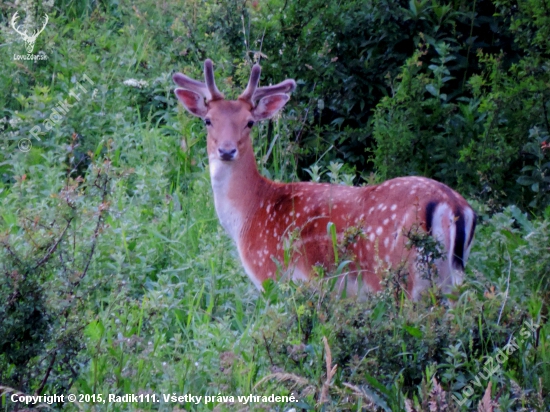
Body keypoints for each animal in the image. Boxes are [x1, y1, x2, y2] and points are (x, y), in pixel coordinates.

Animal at [175, 59, 476, 300]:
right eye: (208, 120)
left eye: (249, 122)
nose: (227, 151)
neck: (248, 213)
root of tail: (454, 206)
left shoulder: (270, 275)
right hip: (448, 276)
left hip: (395, 273)